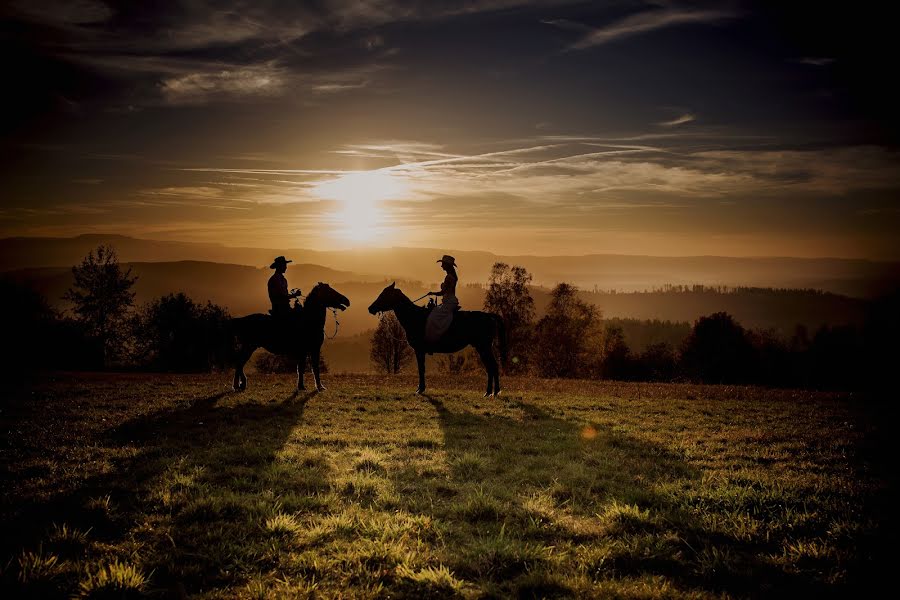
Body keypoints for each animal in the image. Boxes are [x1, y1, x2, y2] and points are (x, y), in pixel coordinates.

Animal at [366, 282, 506, 396]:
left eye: (384, 295)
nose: (370, 308)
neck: (414, 317)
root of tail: (489, 316)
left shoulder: (419, 350)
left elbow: (421, 369)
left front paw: (420, 389)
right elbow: (421, 369)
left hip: (483, 347)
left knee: (492, 366)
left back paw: (491, 392)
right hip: (483, 348)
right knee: (491, 367)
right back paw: (491, 392)